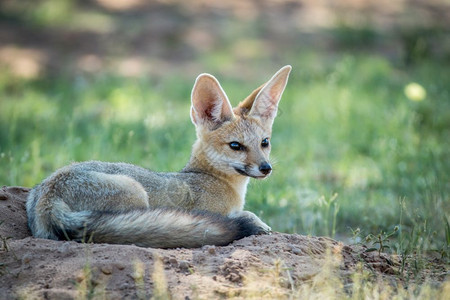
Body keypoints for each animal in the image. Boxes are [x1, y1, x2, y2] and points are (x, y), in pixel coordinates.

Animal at [26, 65, 292, 248]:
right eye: (236, 145)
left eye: (264, 143)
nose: (266, 168)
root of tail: (48, 197)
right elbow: (247, 215)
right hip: (135, 193)